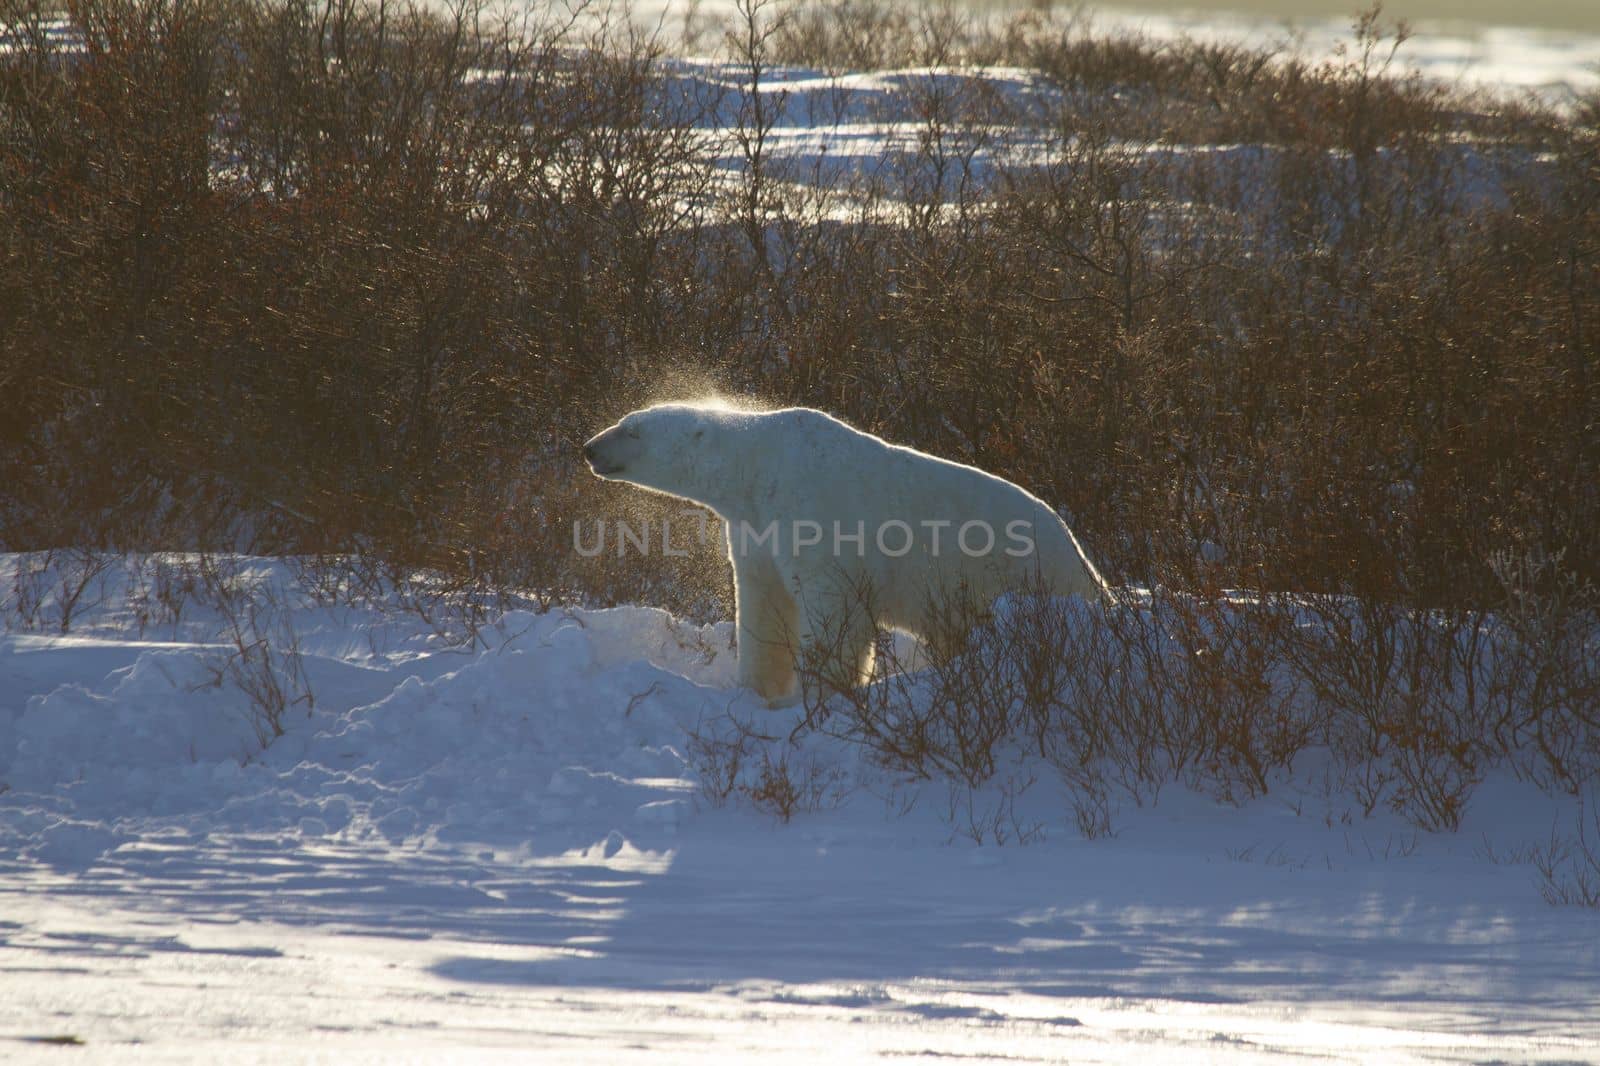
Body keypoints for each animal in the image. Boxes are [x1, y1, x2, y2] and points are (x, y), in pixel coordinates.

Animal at [582, 400, 1107, 704]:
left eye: (632, 429)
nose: (589, 447)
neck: (758, 468)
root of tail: (1089, 566)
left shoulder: (814, 510)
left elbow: (835, 609)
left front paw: (823, 692)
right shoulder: (755, 531)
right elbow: (763, 604)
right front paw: (756, 690)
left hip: (1024, 573)